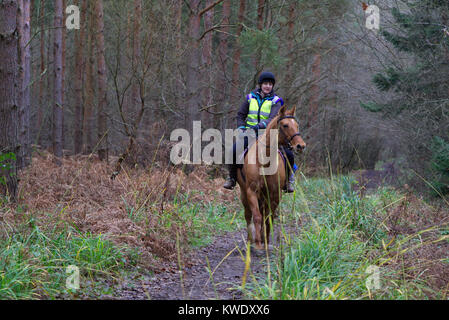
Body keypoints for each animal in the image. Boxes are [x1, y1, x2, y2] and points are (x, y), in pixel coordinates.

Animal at [236, 106, 306, 251]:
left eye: (296, 125)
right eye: (285, 125)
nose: (300, 146)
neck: (264, 160)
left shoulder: (275, 193)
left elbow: (269, 217)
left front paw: (266, 241)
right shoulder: (251, 191)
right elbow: (257, 216)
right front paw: (257, 244)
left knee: (263, 213)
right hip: (244, 193)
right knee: (248, 214)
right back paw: (250, 240)